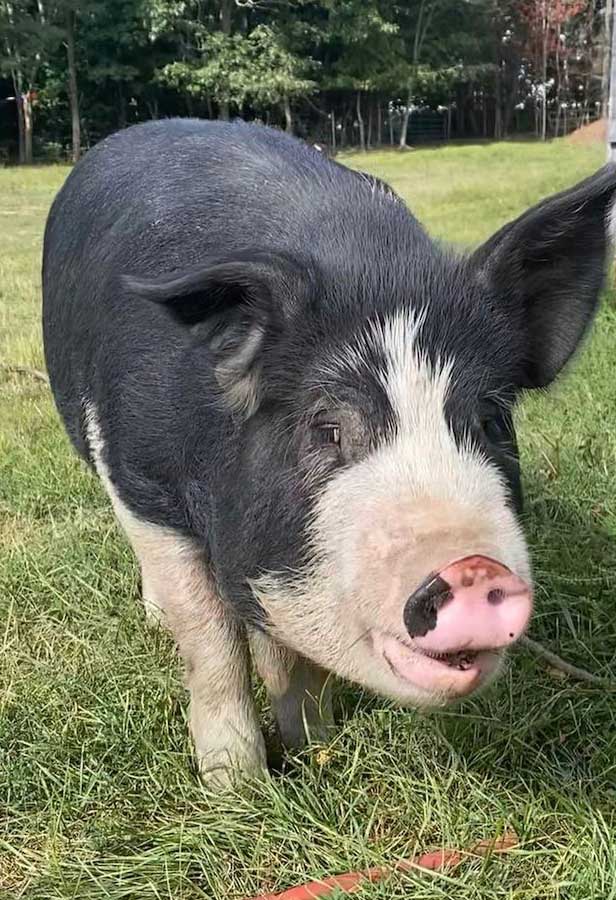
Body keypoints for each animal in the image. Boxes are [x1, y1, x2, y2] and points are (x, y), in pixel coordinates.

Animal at [43, 121, 616, 788]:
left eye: (490, 420)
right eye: (328, 429)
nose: (474, 567)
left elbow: (294, 661)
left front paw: (315, 750)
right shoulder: (140, 480)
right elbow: (208, 638)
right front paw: (237, 788)